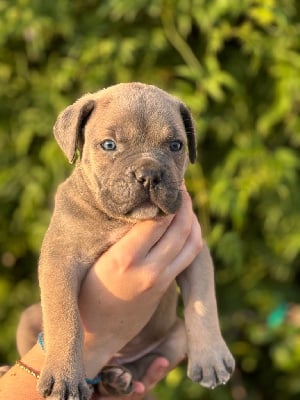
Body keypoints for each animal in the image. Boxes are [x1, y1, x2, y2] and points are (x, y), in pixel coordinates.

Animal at [17, 82, 236, 400]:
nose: (149, 174)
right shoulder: (60, 261)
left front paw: (211, 359)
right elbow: (65, 319)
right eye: (109, 145)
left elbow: (203, 304)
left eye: (176, 146)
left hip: (175, 335)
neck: (123, 221)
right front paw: (64, 375)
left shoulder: (194, 251)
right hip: (28, 317)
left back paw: (120, 378)